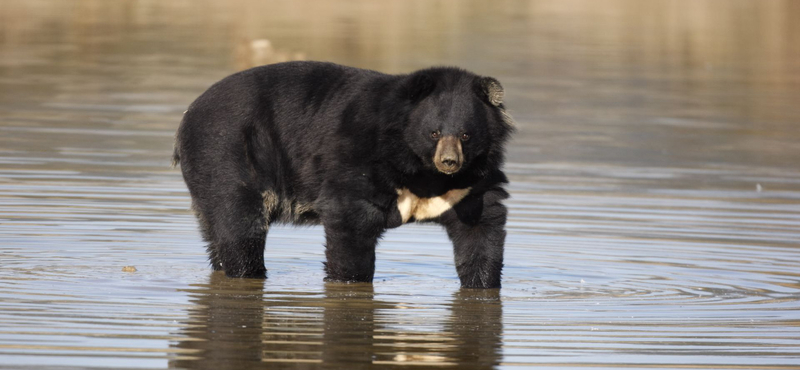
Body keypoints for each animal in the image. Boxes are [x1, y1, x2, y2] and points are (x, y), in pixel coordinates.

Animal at [174, 60, 512, 288]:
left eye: (466, 135)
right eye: (434, 133)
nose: (449, 161)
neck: (420, 167)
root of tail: (188, 112)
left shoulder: (469, 184)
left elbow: (482, 225)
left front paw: (483, 284)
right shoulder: (359, 154)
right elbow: (350, 219)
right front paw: (349, 281)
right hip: (227, 152)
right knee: (240, 225)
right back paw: (249, 272)